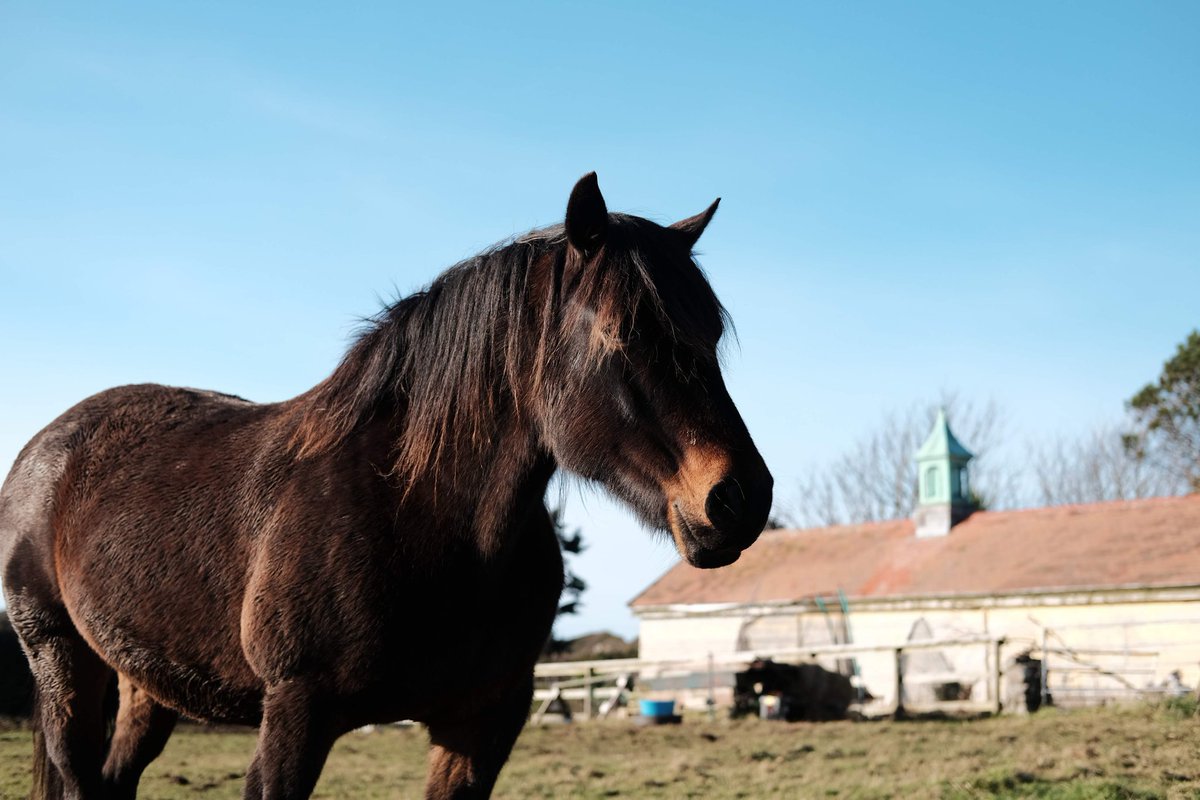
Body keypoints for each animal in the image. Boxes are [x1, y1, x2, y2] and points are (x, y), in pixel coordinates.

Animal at [0, 173, 773, 799]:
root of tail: (43, 449)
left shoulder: (479, 726)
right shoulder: (294, 717)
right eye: (619, 334)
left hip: (145, 684)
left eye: (711, 335)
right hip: (63, 662)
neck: (419, 515)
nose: (739, 499)